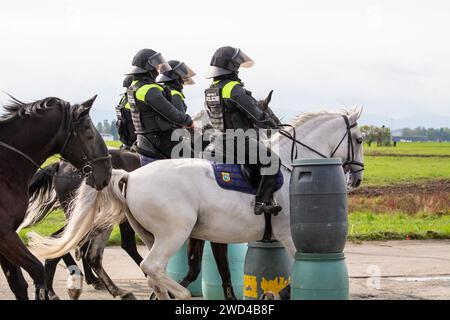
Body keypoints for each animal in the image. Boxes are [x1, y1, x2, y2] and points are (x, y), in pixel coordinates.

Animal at [0, 95, 111, 300]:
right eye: (89, 132)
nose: (107, 171)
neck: (6, 165)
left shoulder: (5, 237)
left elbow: (18, 283)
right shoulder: (6, 235)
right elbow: (37, 272)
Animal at [28, 108, 366, 300]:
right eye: (361, 139)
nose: (358, 177)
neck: (289, 162)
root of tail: (130, 176)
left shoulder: (211, 238)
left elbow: (215, 271)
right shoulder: (288, 236)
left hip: (148, 233)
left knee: (132, 264)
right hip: (171, 232)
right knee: (146, 265)